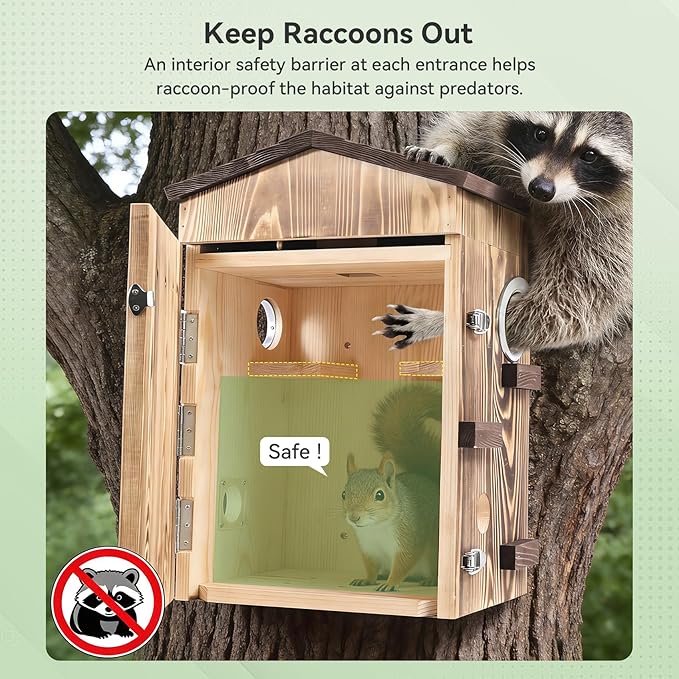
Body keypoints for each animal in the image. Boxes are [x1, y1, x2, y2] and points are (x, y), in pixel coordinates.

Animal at [342, 384, 441, 591]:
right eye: (343, 494)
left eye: (380, 495)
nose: (354, 517)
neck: (376, 527)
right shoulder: (369, 548)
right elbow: (370, 566)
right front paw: (367, 579)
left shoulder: (408, 540)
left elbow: (403, 563)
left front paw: (390, 583)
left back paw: (430, 580)